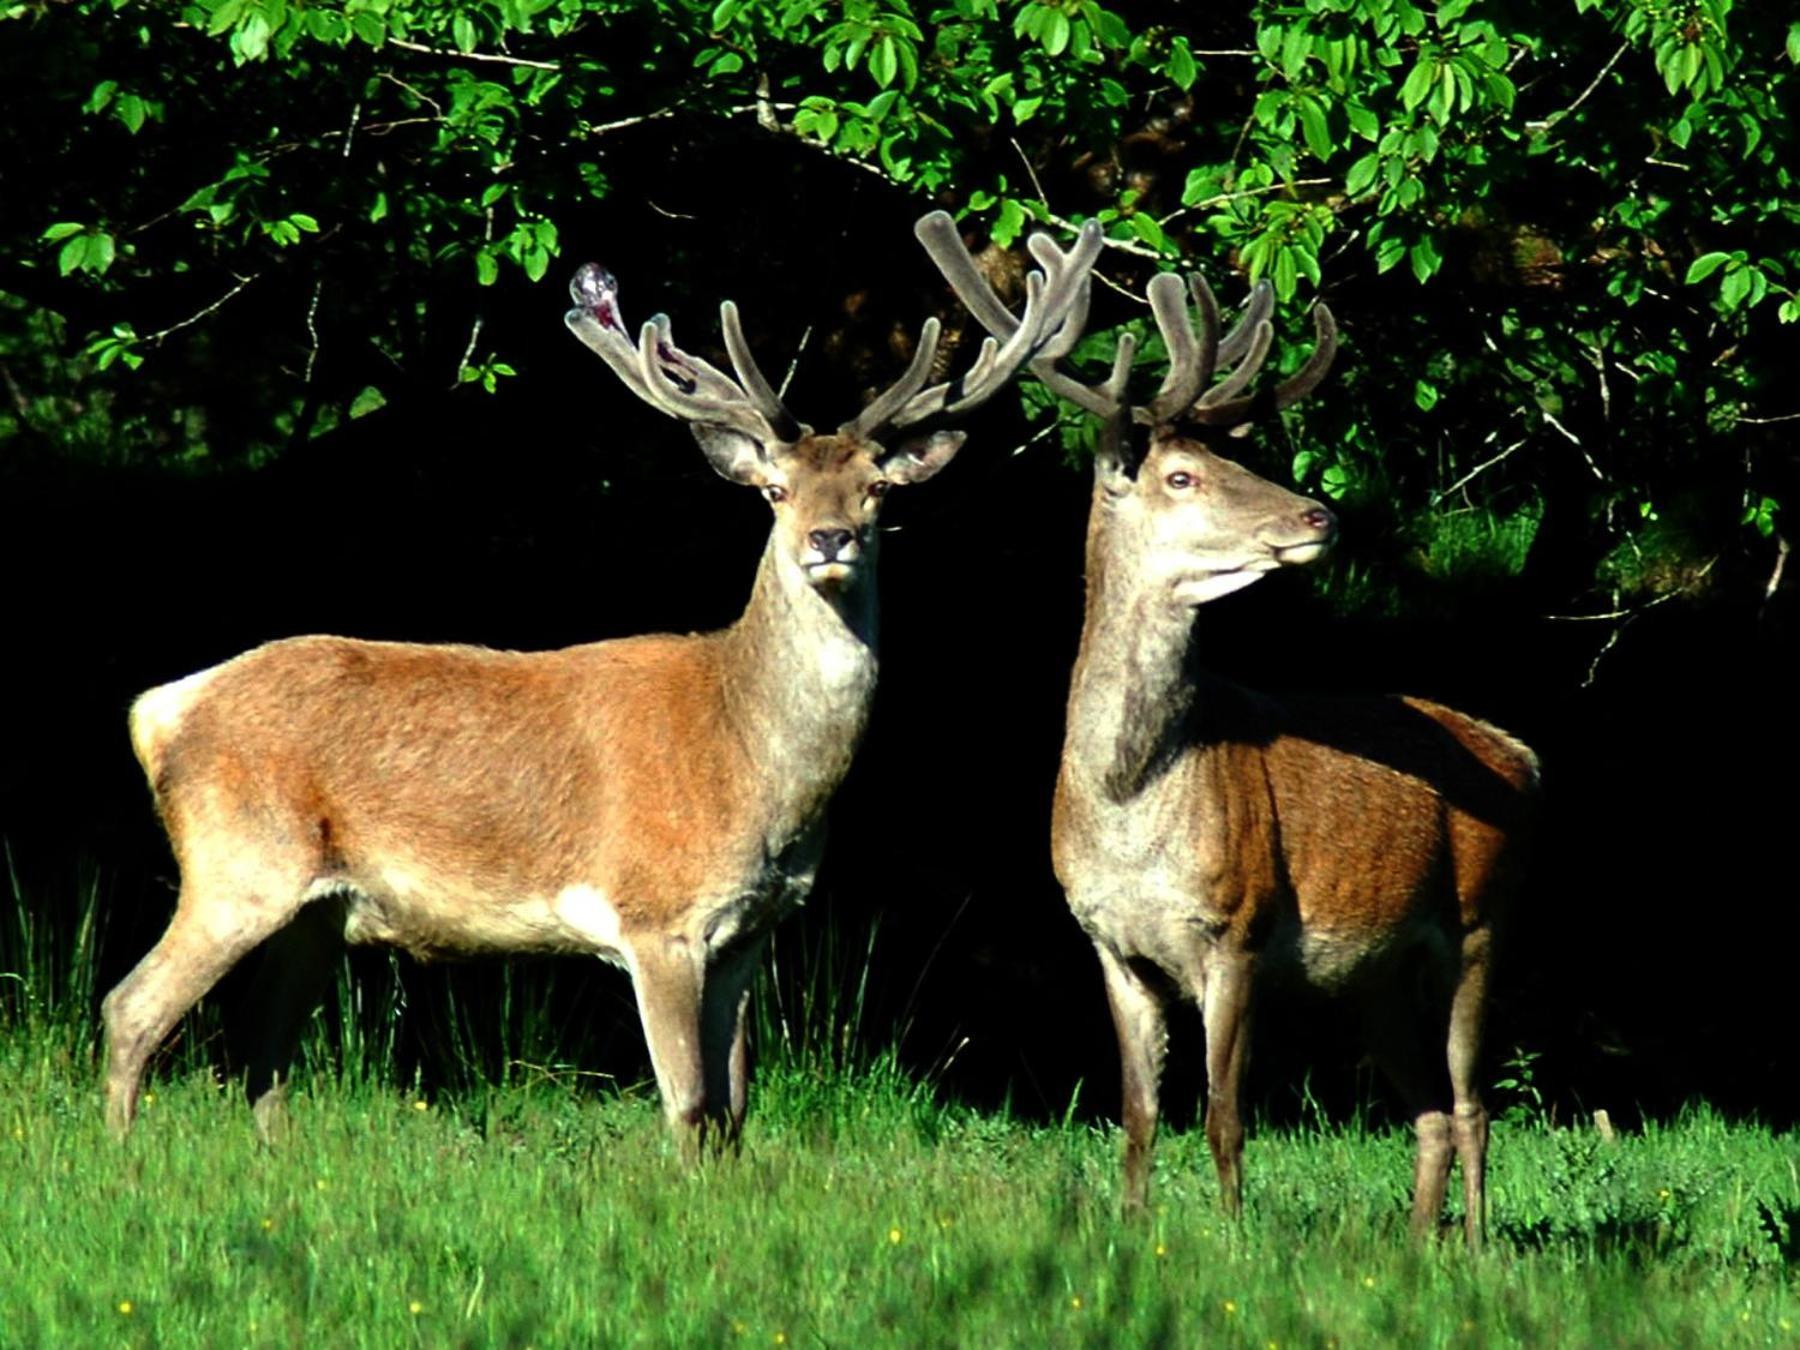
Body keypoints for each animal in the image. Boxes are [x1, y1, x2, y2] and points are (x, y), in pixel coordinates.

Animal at [105, 211, 1101, 1152]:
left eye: (878, 490)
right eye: (774, 490)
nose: (830, 540)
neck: (754, 764)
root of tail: (159, 709)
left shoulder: (753, 929)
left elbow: (736, 1110)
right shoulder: (655, 914)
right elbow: (690, 1105)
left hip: (318, 907)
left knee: (261, 1043)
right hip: (240, 861)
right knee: (134, 1009)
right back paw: (123, 1158)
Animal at [928, 216, 1533, 1252]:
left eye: (1235, 461)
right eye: (1182, 475)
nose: (1318, 512)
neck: (1132, 803)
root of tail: (1522, 754)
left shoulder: (1239, 930)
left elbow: (1224, 1112)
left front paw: (1233, 1237)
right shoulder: (1110, 944)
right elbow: (1136, 1111)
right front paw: (1133, 1228)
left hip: (1481, 921)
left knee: (1474, 1103)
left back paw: (1479, 1247)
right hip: (1375, 976)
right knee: (1427, 1109)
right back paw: (1419, 1246)